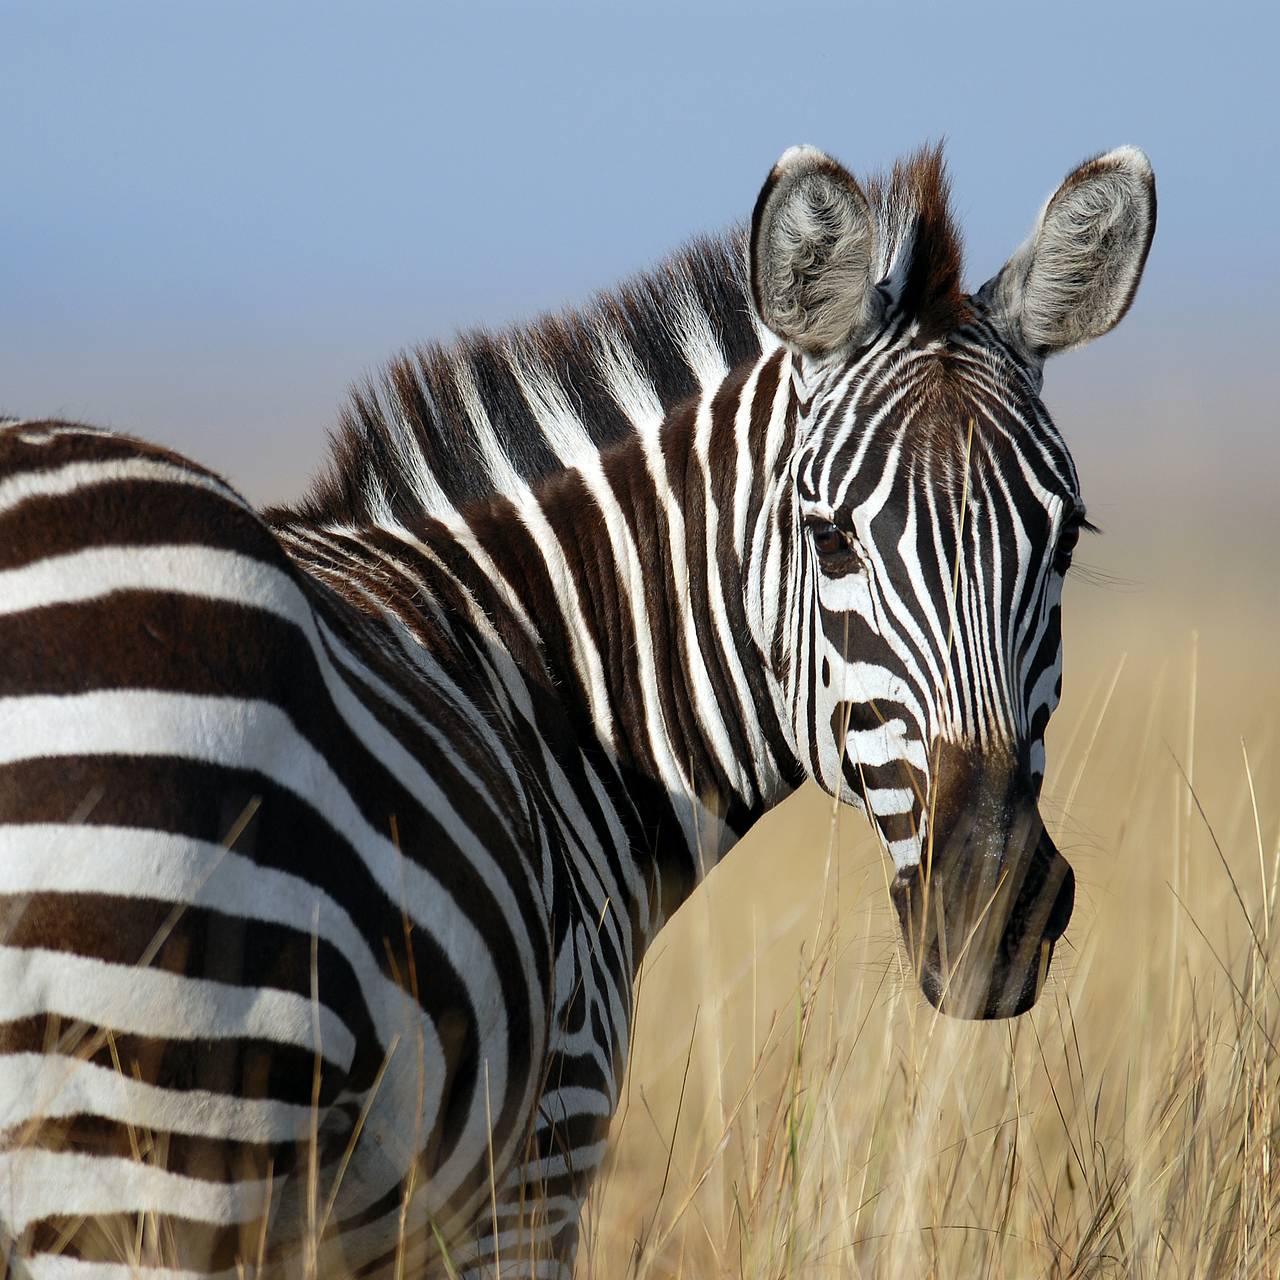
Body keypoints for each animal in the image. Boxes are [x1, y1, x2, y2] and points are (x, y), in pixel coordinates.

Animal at [0, 142, 1157, 1280]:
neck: (553, 690)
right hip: (146, 1163)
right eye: (831, 539)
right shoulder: (534, 1166)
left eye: (1064, 538)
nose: (992, 908)